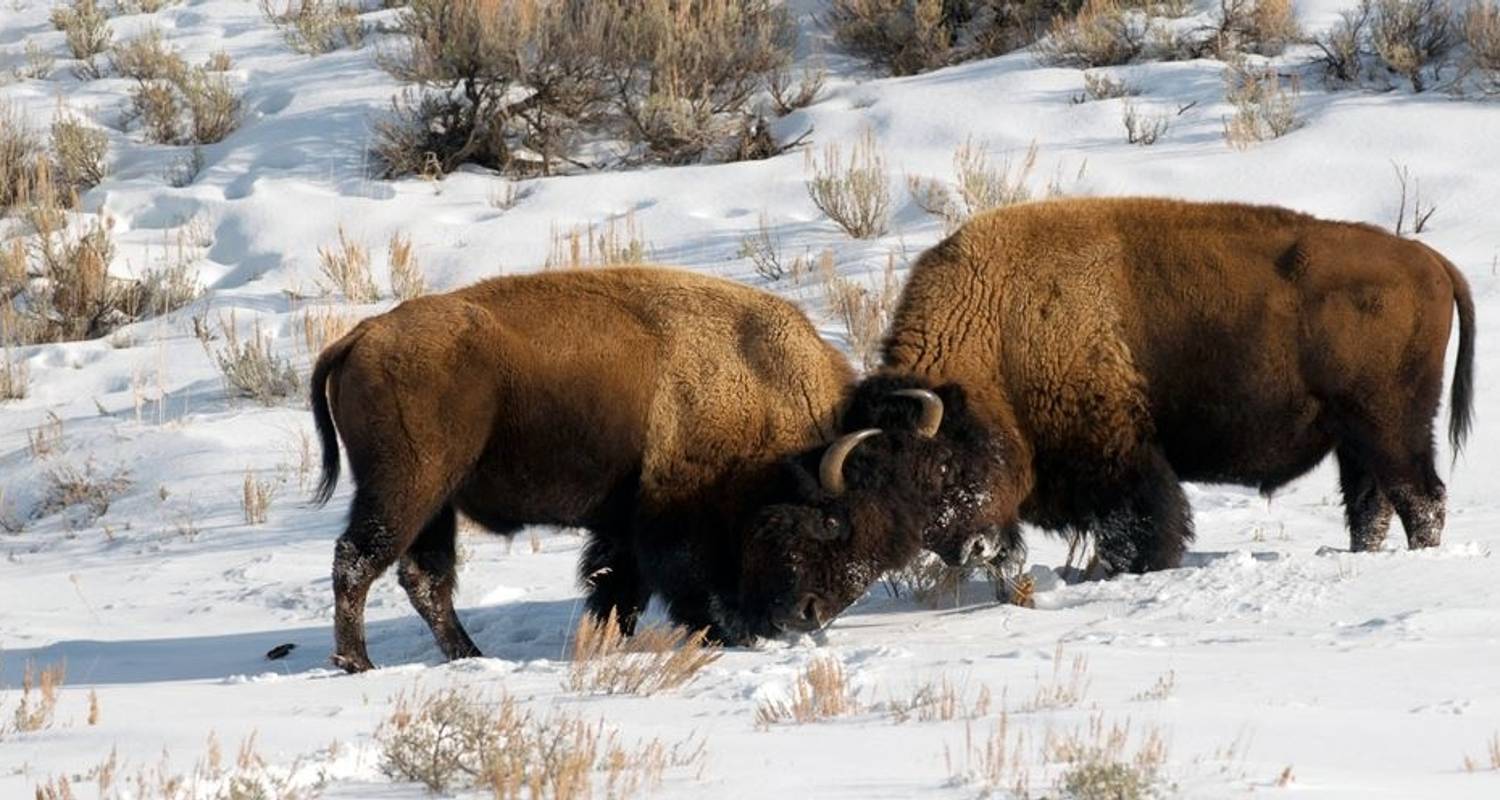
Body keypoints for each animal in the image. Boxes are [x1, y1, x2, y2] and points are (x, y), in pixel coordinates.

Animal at [307, 267, 924, 666]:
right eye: (832, 521)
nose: (807, 614)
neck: (761, 385)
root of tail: (363, 334)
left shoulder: (625, 528)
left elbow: (615, 588)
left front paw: (609, 644)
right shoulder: (672, 519)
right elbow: (680, 582)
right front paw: (723, 635)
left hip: (435, 503)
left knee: (423, 577)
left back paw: (466, 655)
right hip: (408, 487)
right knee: (358, 560)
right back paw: (356, 662)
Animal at [744, 198, 1470, 585]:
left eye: (944, 466)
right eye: (890, 495)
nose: (971, 550)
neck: (998, 338)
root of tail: (1428, 260)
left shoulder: (1121, 458)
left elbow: (1144, 524)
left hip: (1391, 426)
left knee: (1421, 498)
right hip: (1356, 438)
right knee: (1373, 506)